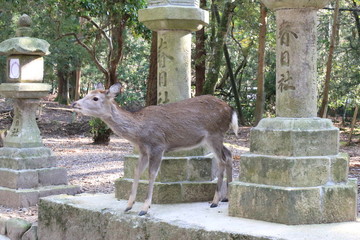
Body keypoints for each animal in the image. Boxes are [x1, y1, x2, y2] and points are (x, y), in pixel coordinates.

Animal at [71, 83, 238, 216]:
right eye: (88, 93)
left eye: (95, 98)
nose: (74, 103)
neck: (138, 132)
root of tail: (230, 109)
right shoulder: (143, 150)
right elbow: (137, 171)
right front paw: (128, 205)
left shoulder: (158, 146)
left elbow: (152, 174)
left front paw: (144, 208)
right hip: (213, 138)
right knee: (229, 154)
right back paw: (227, 197)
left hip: (214, 134)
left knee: (222, 160)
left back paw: (215, 201)